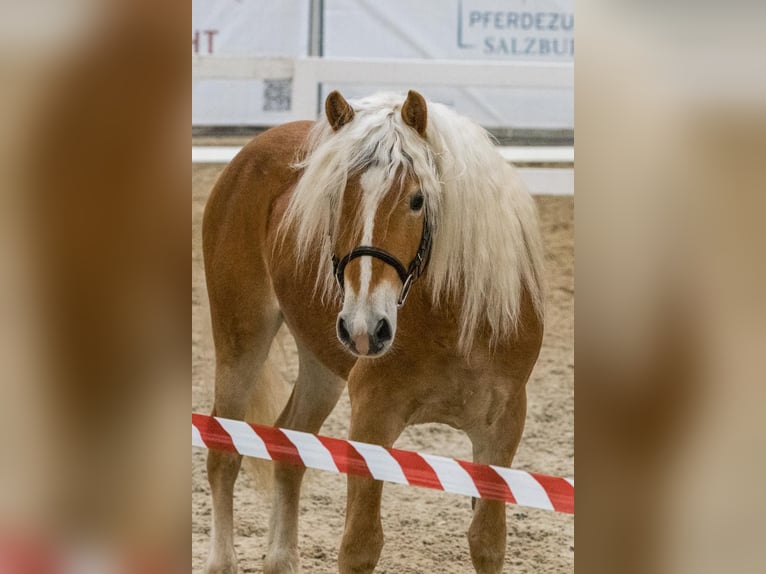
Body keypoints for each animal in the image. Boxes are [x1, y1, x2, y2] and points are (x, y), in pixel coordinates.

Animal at [202, 90, 546, 574]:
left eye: (418, 200)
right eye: (334, 197)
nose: (364, 328)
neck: (454, 323)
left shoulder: (502, 429)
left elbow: (487, 542)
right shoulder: (372, 420)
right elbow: (361, 545)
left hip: (321, 365)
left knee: (290, 446)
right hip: (241, 339)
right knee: (223, 453)